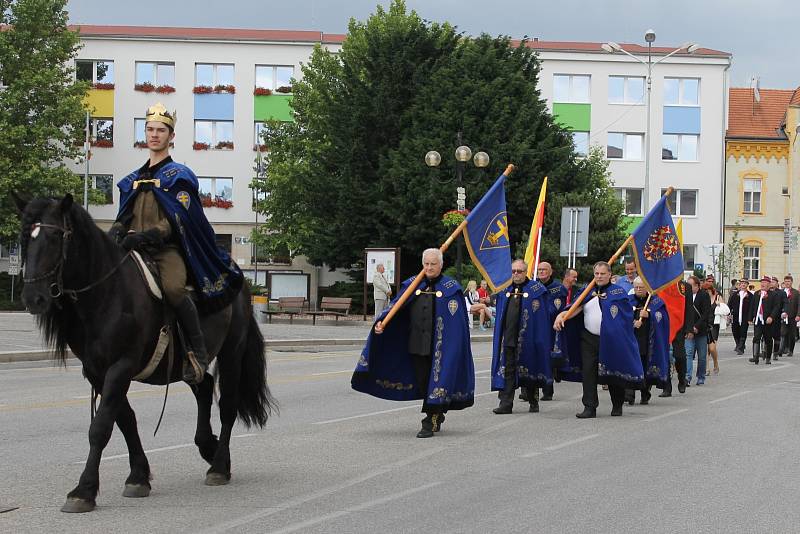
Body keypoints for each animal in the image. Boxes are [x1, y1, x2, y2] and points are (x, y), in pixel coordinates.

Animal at [14, 196, 276, 516]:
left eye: (55, 237)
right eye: (25, 238)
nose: (33, 298)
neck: (108, 293)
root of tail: (239, 280)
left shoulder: (121, 366)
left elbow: (101, 427)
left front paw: (84, 490)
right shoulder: (97, 371)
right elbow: (125, 420)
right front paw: (138, 476)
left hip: (232, 352)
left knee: (227, 406)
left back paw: (219, 466)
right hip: (185, 364)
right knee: (202, 385)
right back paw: (207, 445)